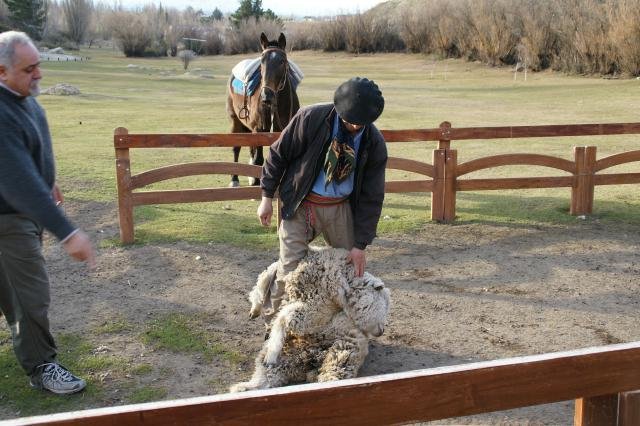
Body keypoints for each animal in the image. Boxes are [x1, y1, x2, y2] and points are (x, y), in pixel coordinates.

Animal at [226, 30, 302, 187]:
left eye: (282, 61)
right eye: (262, 61)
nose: (267, 95)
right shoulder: (259, 130)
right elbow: (259, 159)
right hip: (236, 121)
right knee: (237, 148)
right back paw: (235, 179)